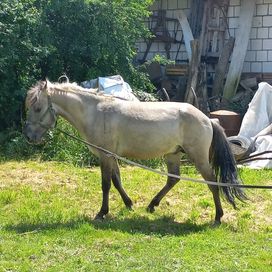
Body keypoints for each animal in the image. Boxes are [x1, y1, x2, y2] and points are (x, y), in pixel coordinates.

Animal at [22, 79, 246, 224]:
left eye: (37, 108)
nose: (29, 137)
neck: (96, 112)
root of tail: (208, 119)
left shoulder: (105, 156)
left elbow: (106, 184)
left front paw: (102, 213)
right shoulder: (111, 156)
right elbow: (116, 180)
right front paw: (128, 203)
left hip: (198, 158)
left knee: (212, 182)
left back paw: (218, 216)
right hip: (172, 154)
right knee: (173, 179)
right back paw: (152, 205)